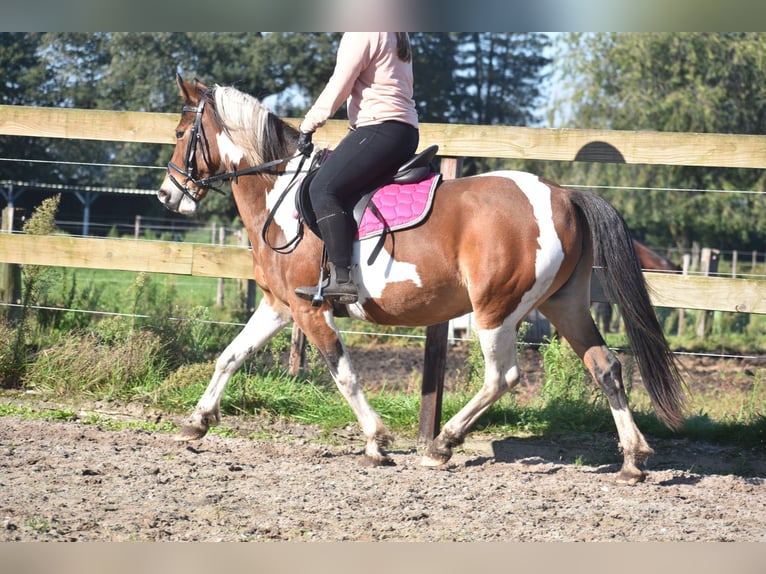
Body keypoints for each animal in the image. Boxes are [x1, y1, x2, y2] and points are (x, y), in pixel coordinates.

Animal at [156, 74, 684, 484]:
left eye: (182, 132)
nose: (166, 195)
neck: (281, 196)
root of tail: (564, 194)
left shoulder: (310, 309)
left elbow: (343, 373)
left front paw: (377, 442)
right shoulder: (279, 306)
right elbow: (230, 356)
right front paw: (196, 422)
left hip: (496, 309)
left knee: (503, 375)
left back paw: (442, 444)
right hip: (564, 305)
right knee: (605, 366)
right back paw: (632, 460)